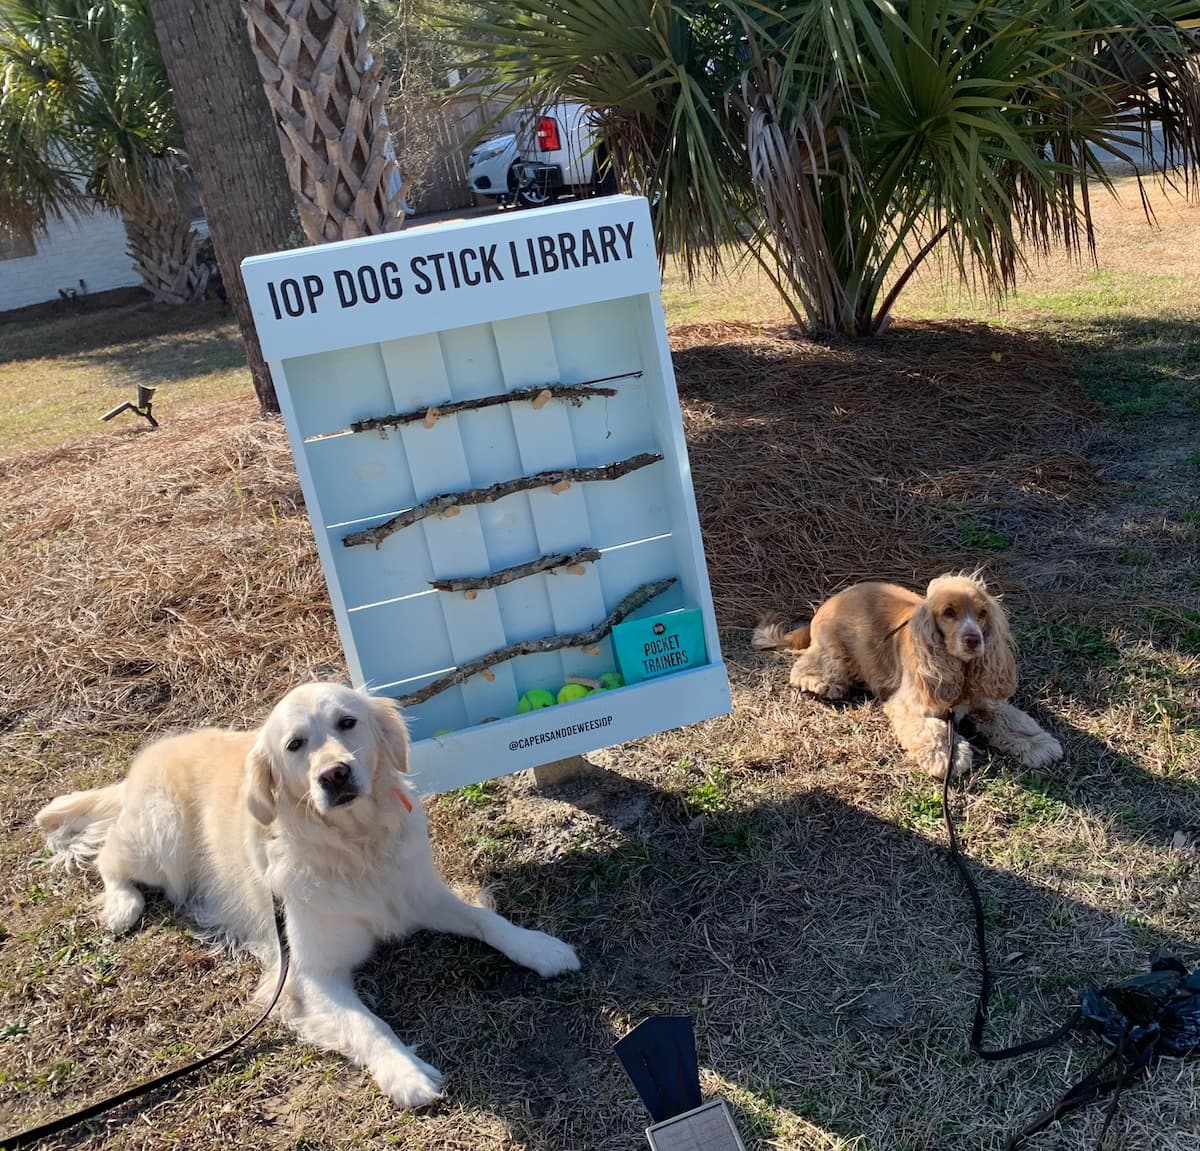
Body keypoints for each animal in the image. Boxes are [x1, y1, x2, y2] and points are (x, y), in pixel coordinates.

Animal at [35, 681, 578, 1108]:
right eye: (295, 744)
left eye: (347, 722)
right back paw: (122, 905)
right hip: (161, 840)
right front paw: (405, 1073)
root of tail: (140, 765)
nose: (334, 774)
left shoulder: (422, 897)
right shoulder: (310, 972)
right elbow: (368, 1024)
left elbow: (490, 921)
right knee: (109, 857)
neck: (356, 848)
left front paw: (540, 947)